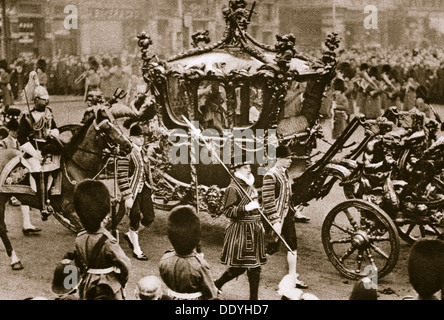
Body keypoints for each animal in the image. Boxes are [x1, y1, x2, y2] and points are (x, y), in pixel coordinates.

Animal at [0, 107, 133, 270]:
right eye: (107, 128)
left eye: (116, 123)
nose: (128, 146)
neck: (76, 166)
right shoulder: (70, 211)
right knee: (1, 226)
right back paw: (15, 260)